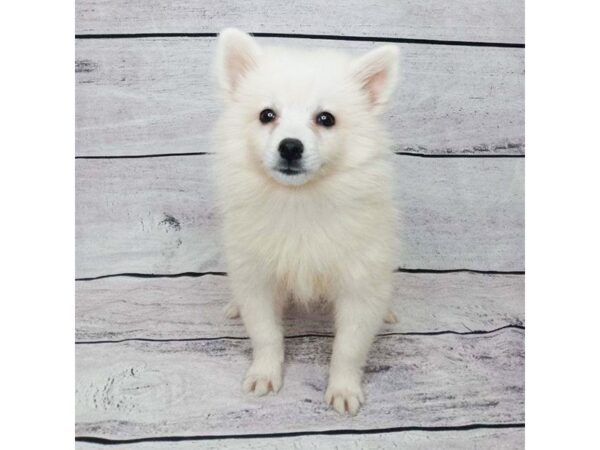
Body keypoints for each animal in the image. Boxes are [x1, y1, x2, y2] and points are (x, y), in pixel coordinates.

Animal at [212, 28, 398, 414]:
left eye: (326, 118)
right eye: (267, 115)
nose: (290, 147)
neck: (299, 200)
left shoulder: (360, 280)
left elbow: (349, 346)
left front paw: (343, 389)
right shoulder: (257, 276)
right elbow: (265, 334)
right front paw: (264, 375)